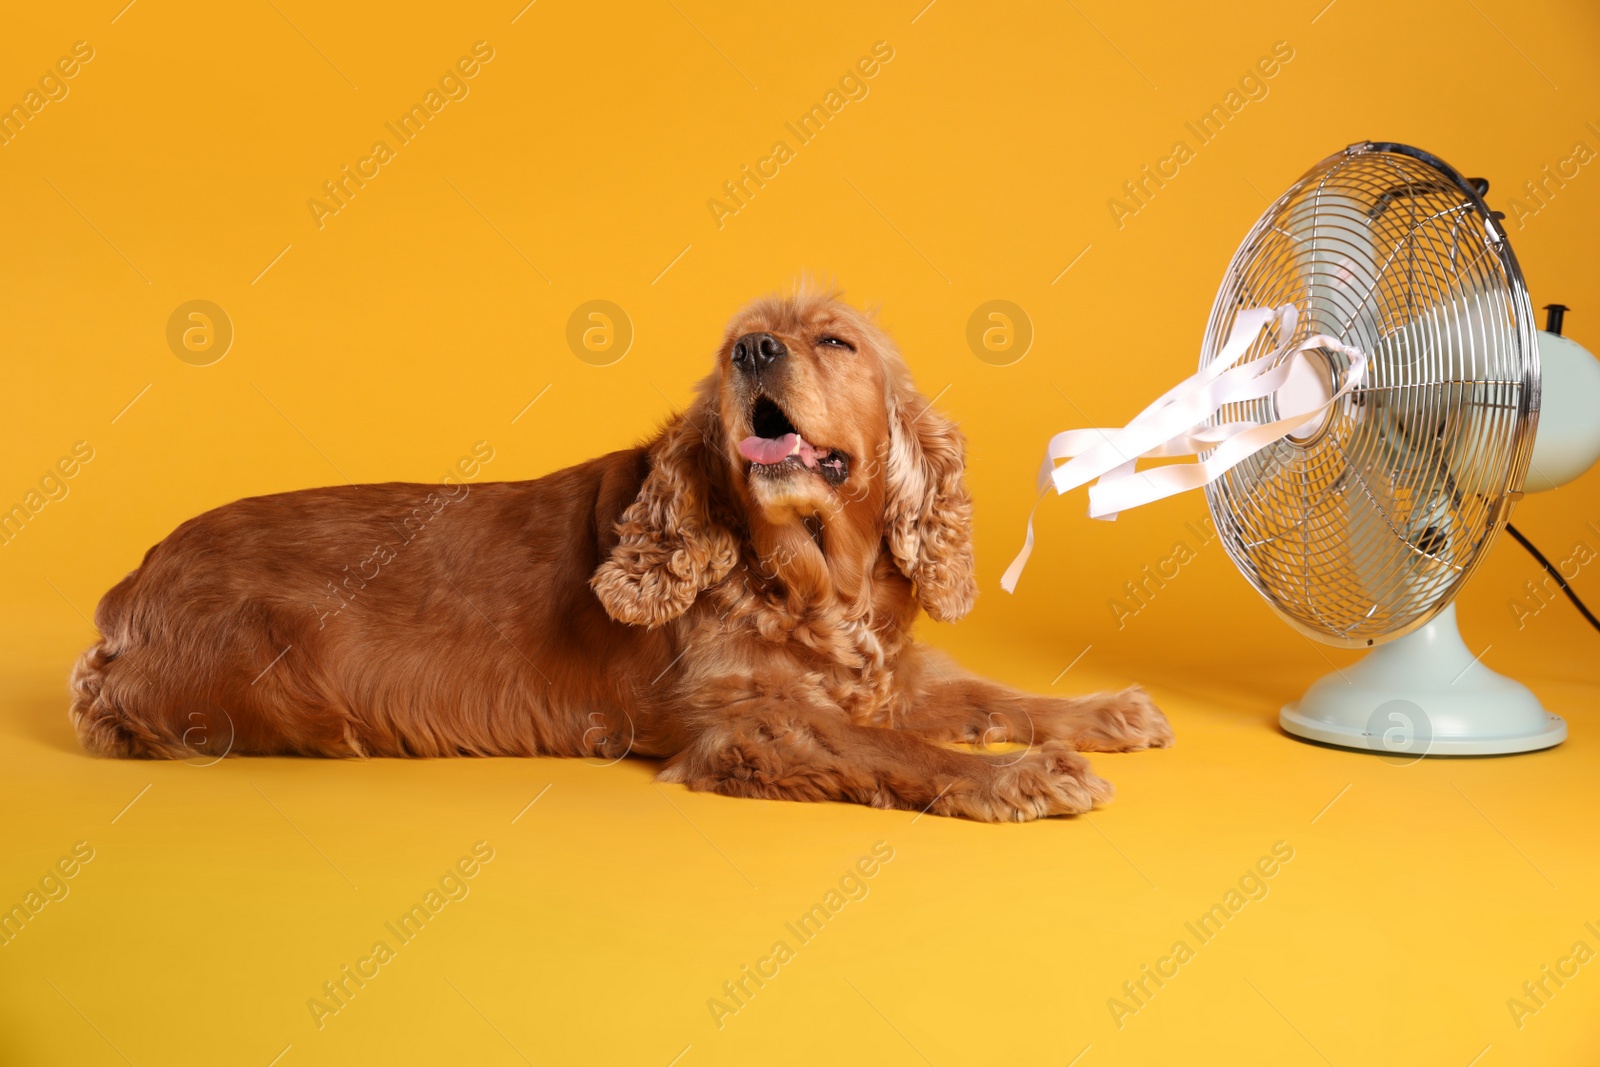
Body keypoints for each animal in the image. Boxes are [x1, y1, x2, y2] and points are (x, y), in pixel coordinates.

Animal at [68, 287, 1171, 825]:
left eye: (834, 341)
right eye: (737, 341)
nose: (754, 354)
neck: (811, 575)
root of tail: (130, 581)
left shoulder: (884, 671)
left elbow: (985, 691)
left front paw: (1102, 713)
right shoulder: (750, 724)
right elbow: (902, 751)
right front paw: (1018, 777)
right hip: (286, 679)